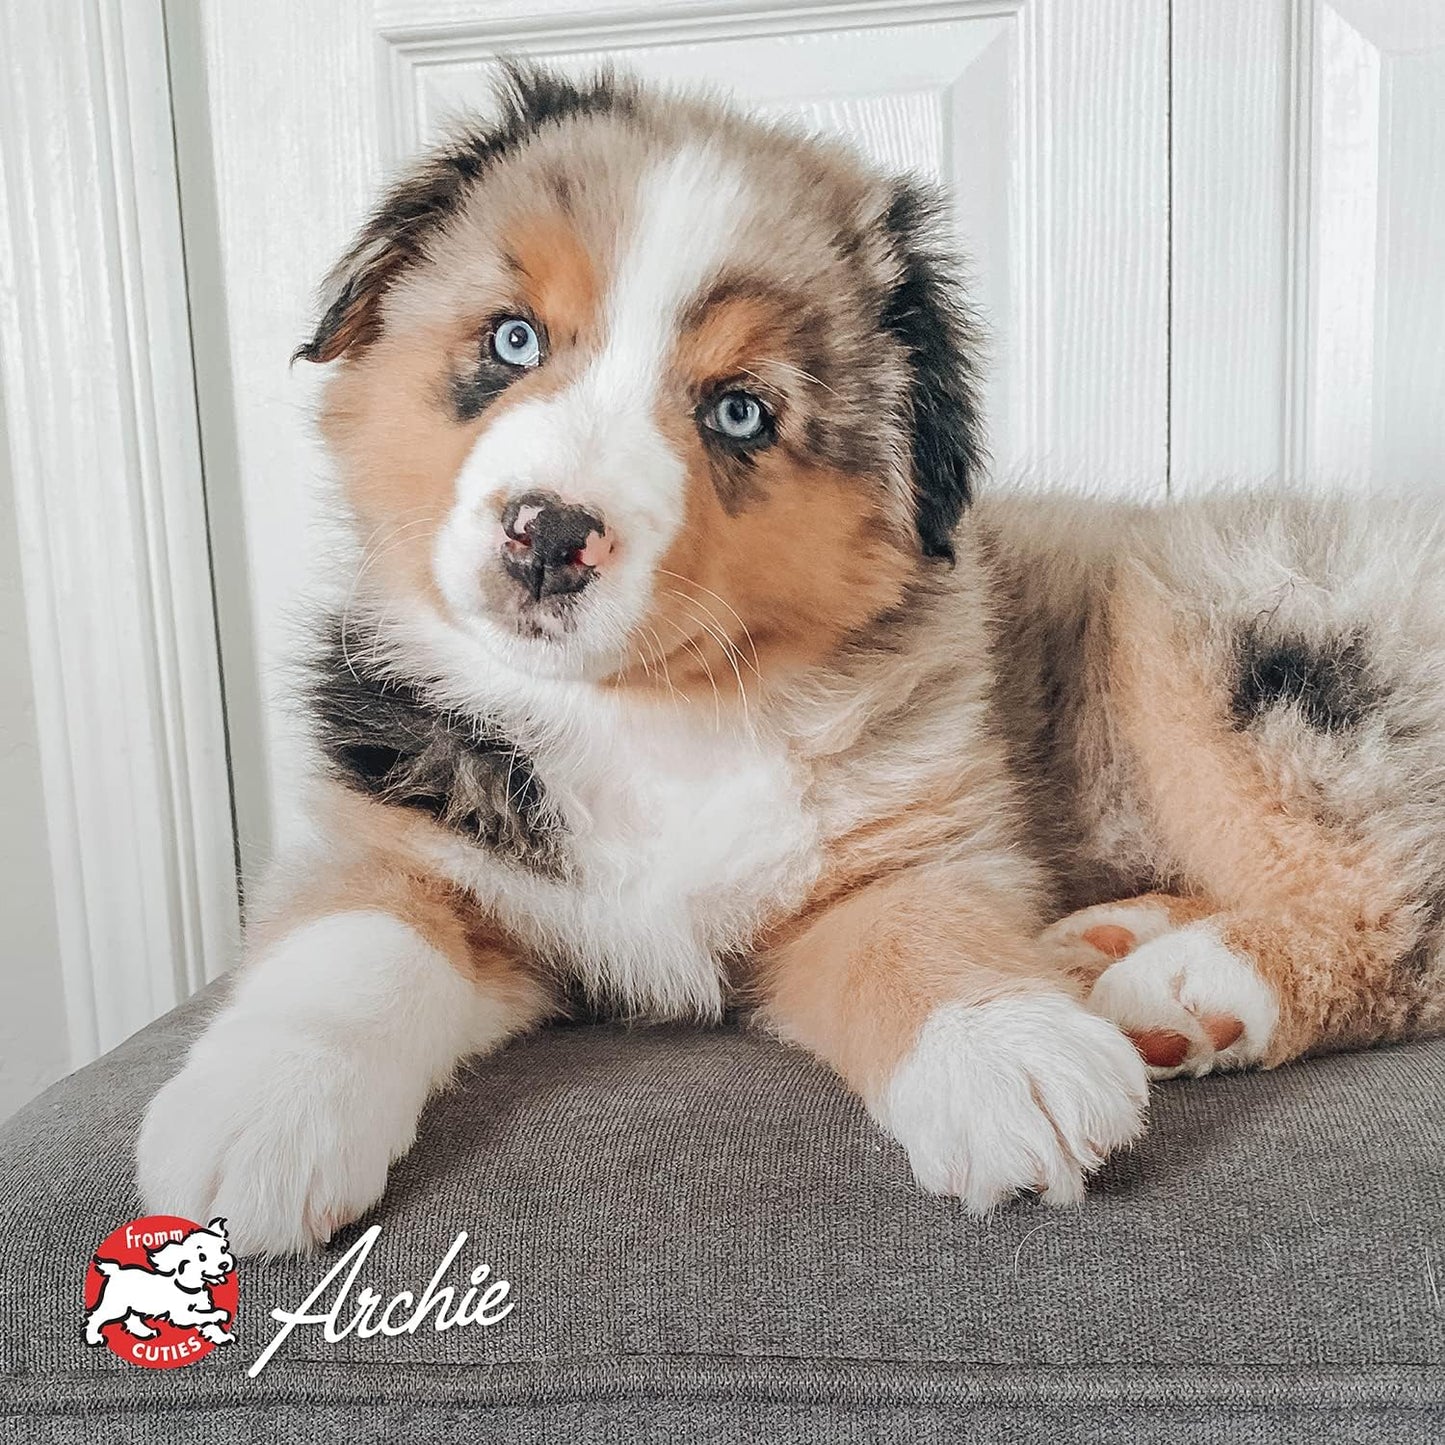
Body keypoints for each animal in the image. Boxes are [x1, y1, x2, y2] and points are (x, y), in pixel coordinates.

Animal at [137, 65, 1445, 1254]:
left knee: (1402, 911)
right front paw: (261, 1107)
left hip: (1219, 628)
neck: (645, 713)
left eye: (737, 412)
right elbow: (349, 944)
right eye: (511, 338)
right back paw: (1121, 945)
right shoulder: (402, 826)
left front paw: (1004, 1052)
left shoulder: (915, 843)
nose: (549, 534)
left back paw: (1199, 987)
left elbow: (915, 930)